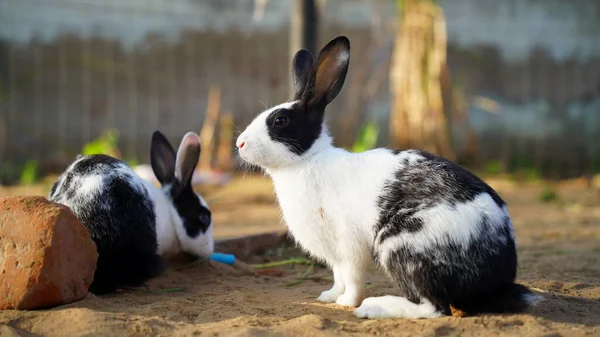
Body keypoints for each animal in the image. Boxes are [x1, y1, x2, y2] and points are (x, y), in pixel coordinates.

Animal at [234, 36, 540, 318]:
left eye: (280, 121)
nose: (239, 143)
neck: (307, 160)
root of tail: (495, 283)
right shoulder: (334, 254)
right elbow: (337, 276)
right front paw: (328, 297)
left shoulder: (349, 244)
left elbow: (352, 277)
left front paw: (346, 303)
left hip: (401, 246)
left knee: (434, 307)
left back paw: (373, 308)